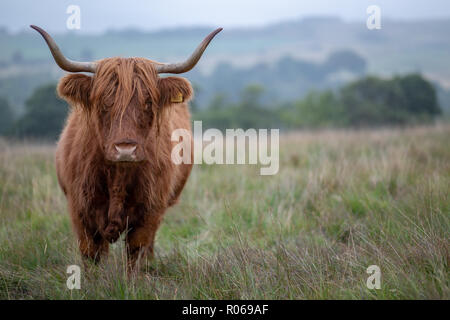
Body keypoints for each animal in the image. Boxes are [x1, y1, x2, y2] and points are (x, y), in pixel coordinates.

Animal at [30, 24, 221, 270]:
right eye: (103, 102)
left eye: (148, 102)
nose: (125, 150)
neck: (117, 176)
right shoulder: (80, 211)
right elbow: (91, 256)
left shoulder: (150, 211)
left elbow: (137, 253)